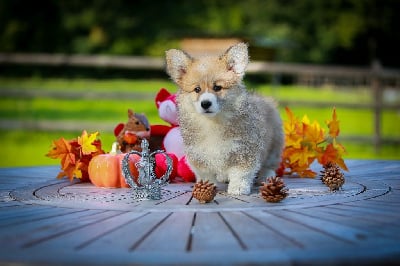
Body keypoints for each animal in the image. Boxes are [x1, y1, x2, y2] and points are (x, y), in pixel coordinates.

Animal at [164, 42, 282, 194]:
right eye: (197, 89)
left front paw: (238, 188)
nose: (205, 103)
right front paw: (205, 187)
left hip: (274, 146)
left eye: (217, 87)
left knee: (269, 164)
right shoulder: (198, 154)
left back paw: (267, 175)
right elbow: (205, 174)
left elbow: (241, 173)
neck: (213, 122)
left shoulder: (244, 150)